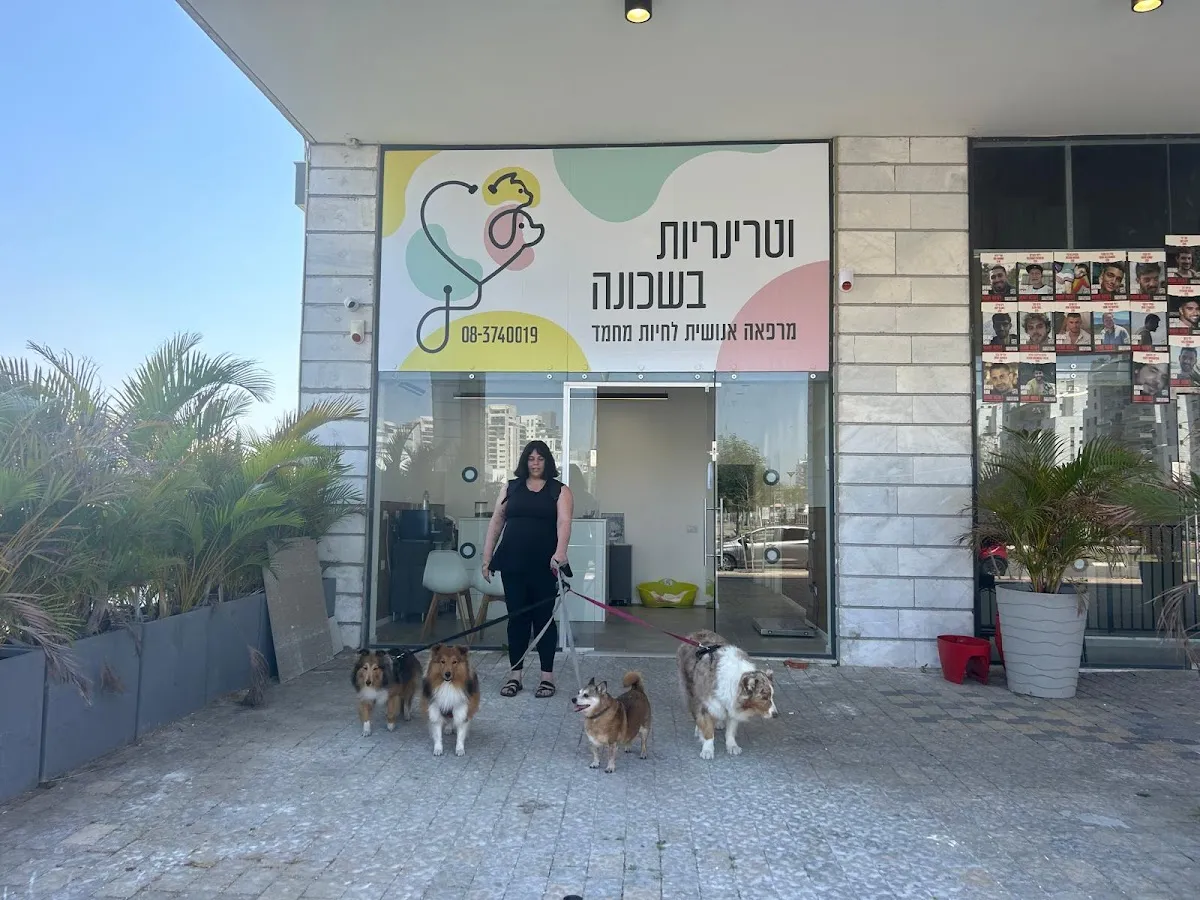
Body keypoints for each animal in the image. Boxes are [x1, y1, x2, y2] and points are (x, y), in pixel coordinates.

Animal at [676, 630, 778, 759]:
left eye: (772, 696)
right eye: (764, 697)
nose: (776, 715)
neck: (736, 680)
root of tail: (698, 632)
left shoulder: (732, 704)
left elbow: (731, 729)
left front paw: (732, 745)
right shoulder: (706, 701)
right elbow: (707, 728)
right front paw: (707, 749)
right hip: (690, 689)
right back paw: (699, 729)